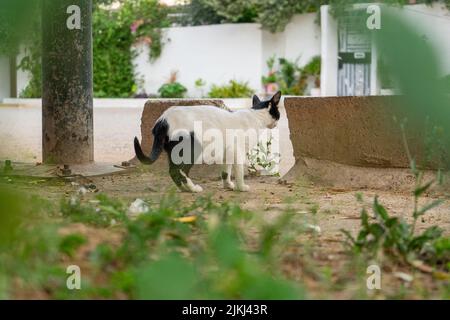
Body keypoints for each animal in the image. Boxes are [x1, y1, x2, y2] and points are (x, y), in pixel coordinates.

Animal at [134, 91, 282, 194]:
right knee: (178, 170)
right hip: (191, 149)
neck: (256, 115)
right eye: (278, 114)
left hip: (173, 152)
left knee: (173, 171)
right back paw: (192, 188)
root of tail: (163, 119)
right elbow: (239, 172)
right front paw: (241, 187)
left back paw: (184, 188)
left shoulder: (227, 152)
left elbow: (225, 172)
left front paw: (228, 185)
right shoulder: (238, 151)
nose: (277, 124)